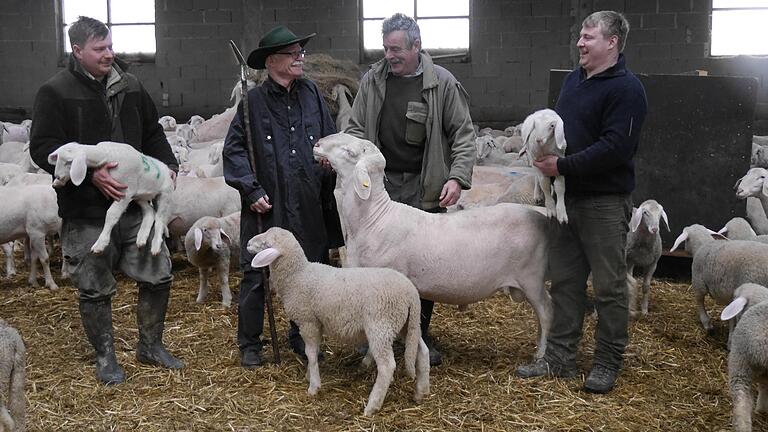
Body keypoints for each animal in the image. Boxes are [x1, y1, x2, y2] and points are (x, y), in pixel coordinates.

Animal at [47, 142, 175, 256]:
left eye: (68, 162)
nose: (57, 176)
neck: (107, 154)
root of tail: (167, 171)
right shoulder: (129, 191)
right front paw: (57, 183)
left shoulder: (125, 192)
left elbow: (111, 214)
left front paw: (100, 244)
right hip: (139, 195)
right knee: (150, 212)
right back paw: (142, 238)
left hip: (165, 195)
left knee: (159, 219)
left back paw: (155, 246)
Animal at [248, 226, 428, 416]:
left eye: (266, 243)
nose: (248, 243)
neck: (298, 275)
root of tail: (411, 293)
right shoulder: (317, 322)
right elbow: (313, 350)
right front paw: (309, 374)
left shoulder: (308, 321)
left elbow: (310, 353)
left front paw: (313, 386)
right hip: (407, 324)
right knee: (422, 351)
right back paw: (421, 391)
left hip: (381, 326)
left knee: (387, 367)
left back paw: (372, 406)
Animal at [716, 284, 768, 432]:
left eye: (734, 297)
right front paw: (762, 409)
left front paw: (761, 409)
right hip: (741, 366)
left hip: (739, 364)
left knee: (741, 405)